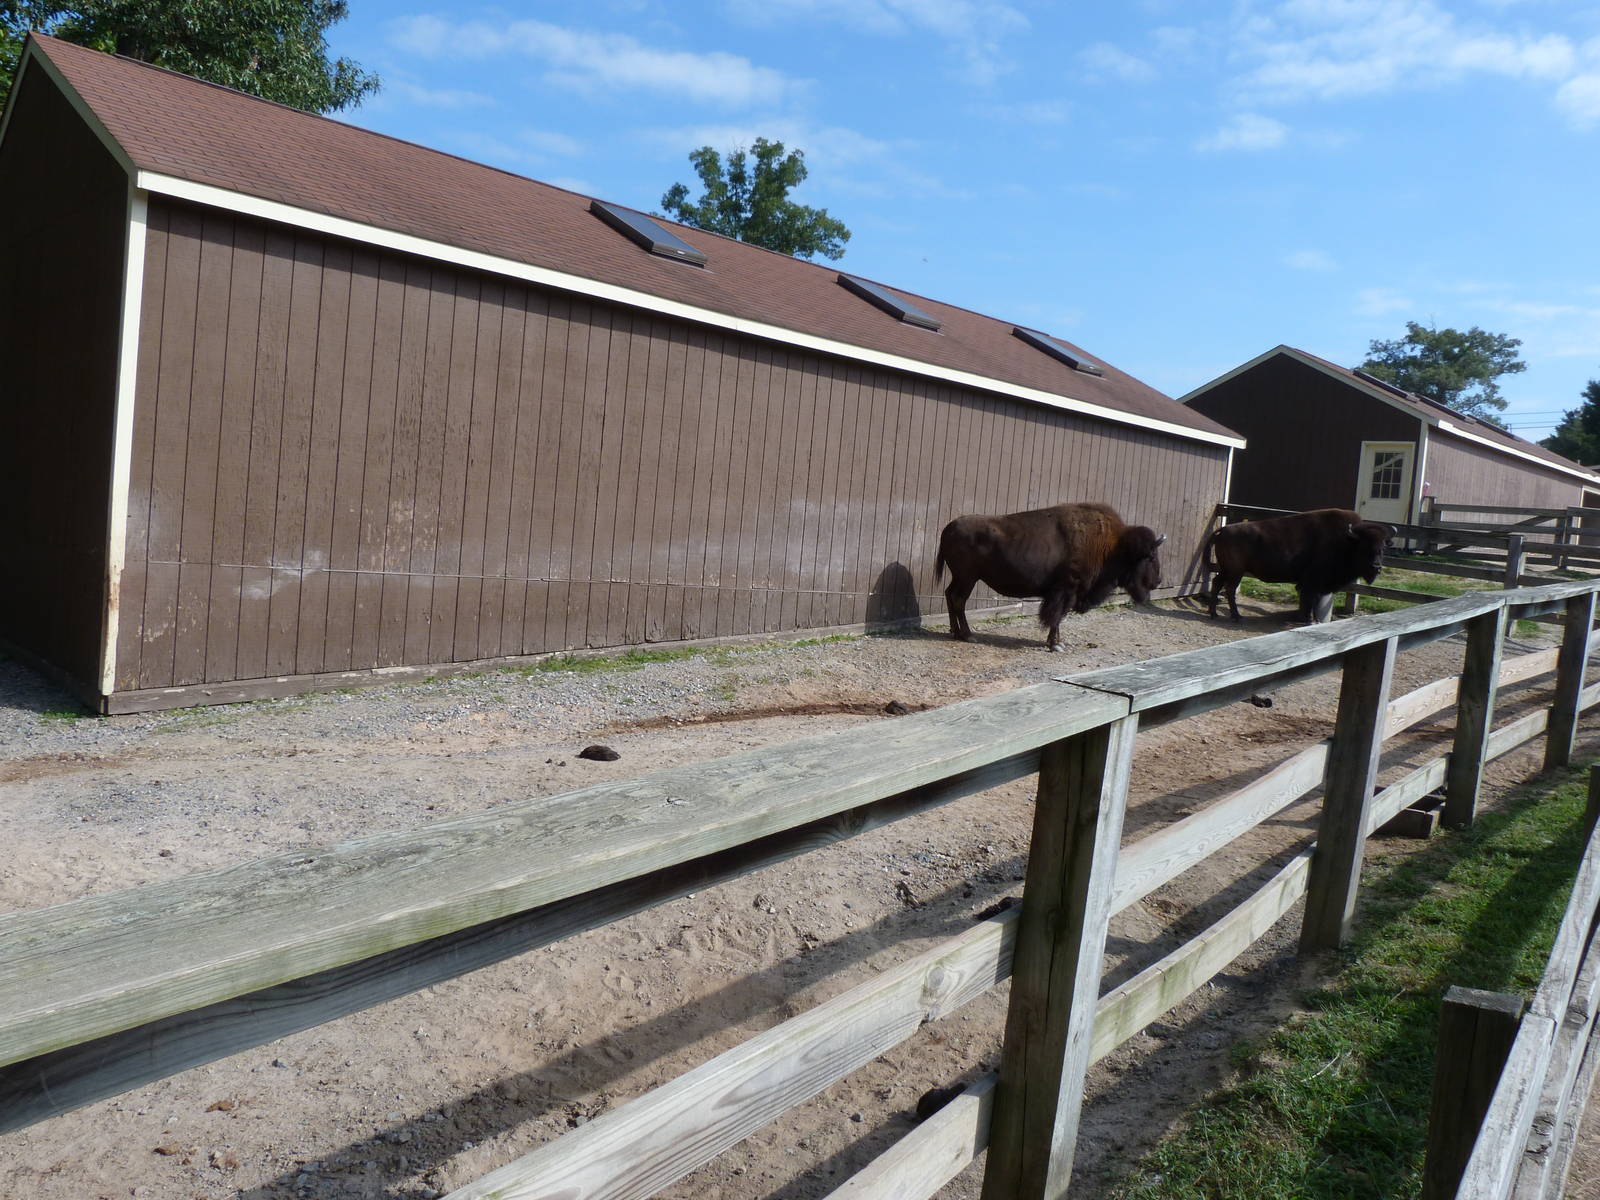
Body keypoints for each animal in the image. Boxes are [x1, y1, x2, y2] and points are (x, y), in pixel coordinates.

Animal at [934, 502, 1166, 651]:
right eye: (1151, 556)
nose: (1158, 581)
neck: (1113, 546)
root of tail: (949, 527)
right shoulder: (1066, 590)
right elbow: (1057, 616)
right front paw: (1055, 644)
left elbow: (1059, 617)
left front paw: (1057, 642)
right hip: (968, 577)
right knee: (958, 599)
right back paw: (968, 635)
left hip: (962, 578)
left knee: (950, 595)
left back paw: (956, 632)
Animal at [1206, 508, 1391, 624]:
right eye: (1364, 547)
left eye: (1383, 548)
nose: (1376, 567)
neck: (1346, 541)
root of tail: (1224, 530)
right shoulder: (1313, 582)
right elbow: (1311, 599)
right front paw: (1309, 620)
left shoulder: (1316, 583)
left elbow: (1313, 600)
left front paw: (1313, 619)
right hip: (1235, 571)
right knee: (1229, 589)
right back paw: (1236, 617)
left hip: (1226, 570)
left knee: (1217, 584)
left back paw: (1214, 613)